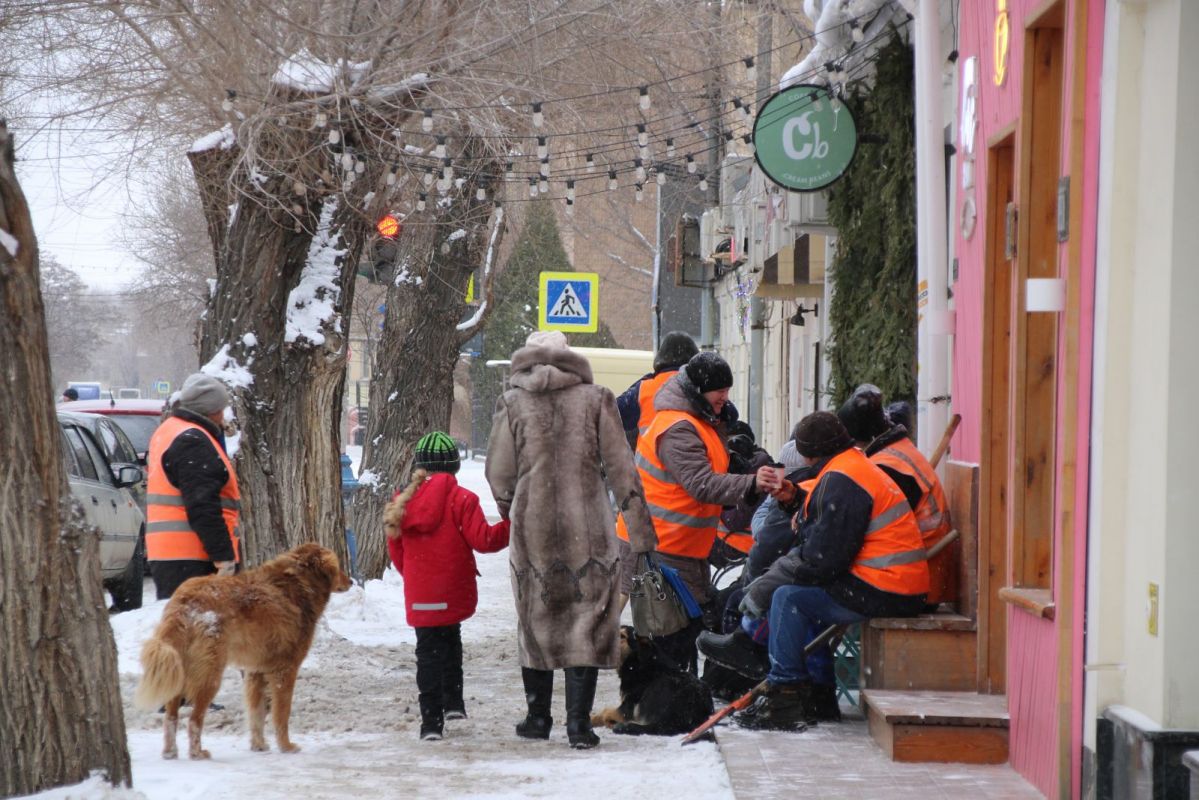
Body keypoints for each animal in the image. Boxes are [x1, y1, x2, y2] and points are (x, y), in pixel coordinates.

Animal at [137, 542, 350, 762]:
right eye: (338, 567)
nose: (351, 581)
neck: (301, 583)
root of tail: (184, 601)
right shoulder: (285, 671)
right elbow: (281, 714)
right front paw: (286, 746)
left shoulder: (255, 672)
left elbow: (257, 714)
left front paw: (259, 745)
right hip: (210, 675)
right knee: (194, 720)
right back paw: (197, 753)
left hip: (180, 669)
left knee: (171, 717)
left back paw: (170, 752)